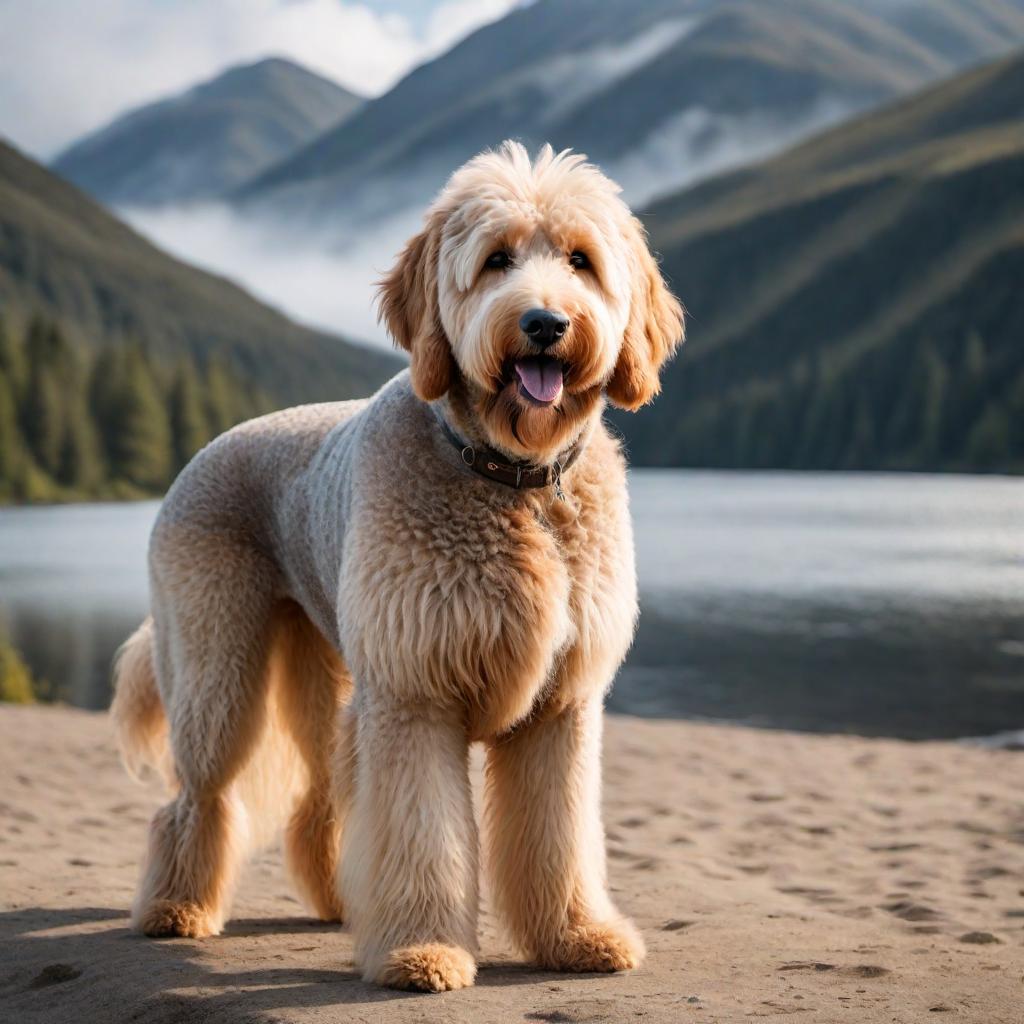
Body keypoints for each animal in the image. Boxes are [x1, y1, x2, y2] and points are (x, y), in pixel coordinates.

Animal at [112, 140, 684, 987]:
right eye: (497, 259)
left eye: (581, 261)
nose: (546, 323)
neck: (509, 481)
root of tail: (212, 445)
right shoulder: (416, 696)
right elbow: (422, 836)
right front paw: (423, 948)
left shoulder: (560, 708)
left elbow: (558, 838)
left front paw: (576, 936)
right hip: (219, 668)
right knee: (198, 796)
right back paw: (176, 908)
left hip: (327, 671)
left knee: (320, 799)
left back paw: (338, 905)